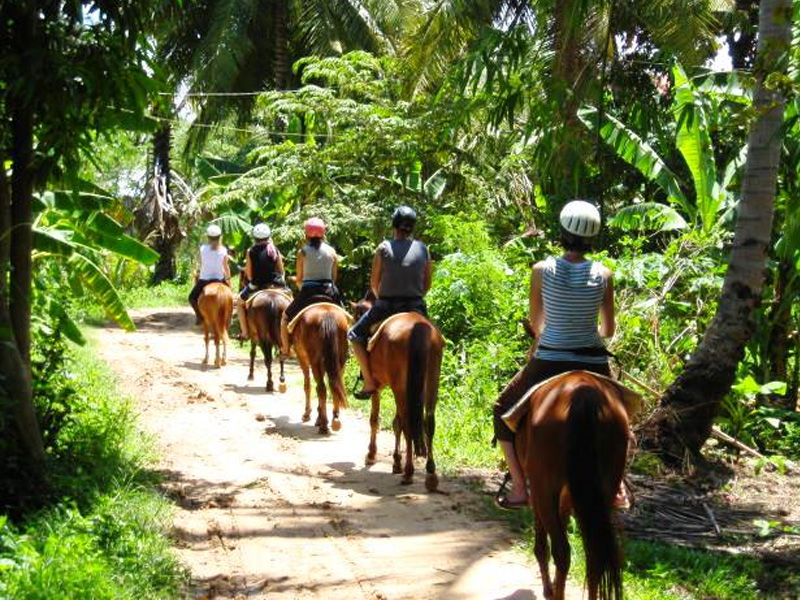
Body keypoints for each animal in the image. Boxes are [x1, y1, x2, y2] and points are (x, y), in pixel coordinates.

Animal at [290, 302, 348, 434]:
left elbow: (307, 385)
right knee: (335, 386)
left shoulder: (302, 359)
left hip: (315, 362)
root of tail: (327, 314)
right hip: (340, 361)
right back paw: (335, 419)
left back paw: (324, 426)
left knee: (321, 388)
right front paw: (319, 417)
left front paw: (308, 414)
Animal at [360, 296, 446, 492]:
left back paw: (408, 472)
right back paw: (430, 474)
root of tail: (418, 327)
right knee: (428, 421)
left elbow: (375, 419)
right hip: (432, 379)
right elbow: (396, 422)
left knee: (407, 423)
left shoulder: (378, 387)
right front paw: (396, 461)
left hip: (399, 386)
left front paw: (372, 454)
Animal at [512, 370, 636, 600]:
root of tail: (584, 393)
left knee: (561, 551)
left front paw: (548, 589)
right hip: (604, 486)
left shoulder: (539, 489)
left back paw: (555, 593)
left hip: (544, 486)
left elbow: (542, 543)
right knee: (594, 554)